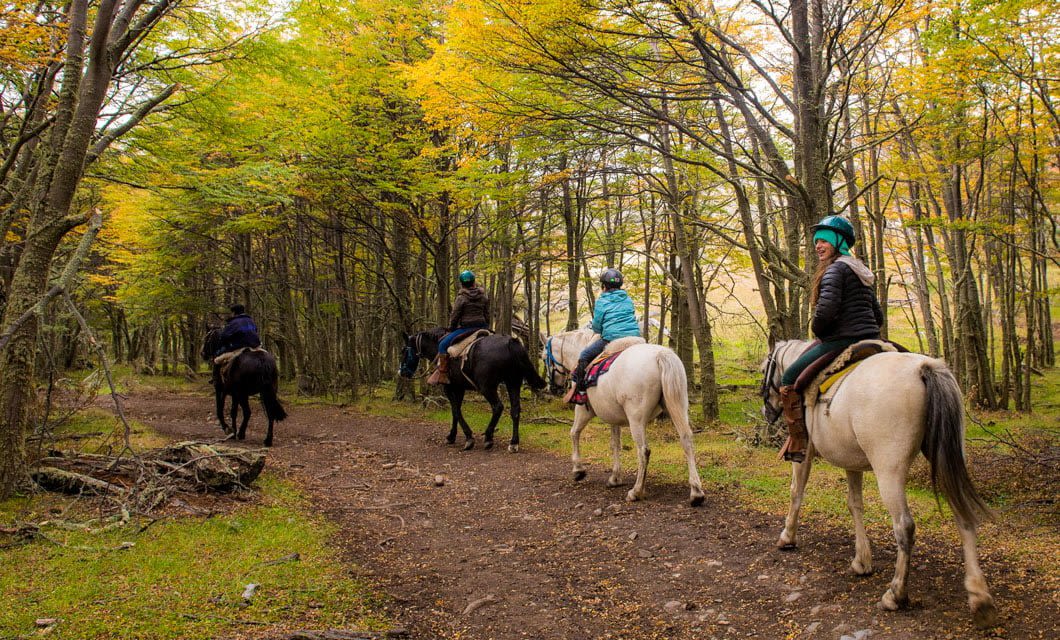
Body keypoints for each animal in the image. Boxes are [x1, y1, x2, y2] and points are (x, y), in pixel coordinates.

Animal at [399, 327, 547, 452]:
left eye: (403, 351)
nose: (401, 372)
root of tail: (510, 342)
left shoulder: (449, 388)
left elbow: (456, 411)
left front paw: (467, 438)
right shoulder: (460, 388)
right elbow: (456, 411)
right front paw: (452, 436)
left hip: (487, 387)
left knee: (498, 407)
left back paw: (488, 437)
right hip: (513, 383)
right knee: (515, 410)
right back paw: (513, 443)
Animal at [544, 328, 705, 506]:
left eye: (544, 357)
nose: (553, 388)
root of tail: (660, 355)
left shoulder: (583, 410)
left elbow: (574, 433)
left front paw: (578, 470)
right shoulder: (613, 417)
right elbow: (615, 444)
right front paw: (615, 477)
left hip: (636, 419)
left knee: (643, 451)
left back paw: (636, 491)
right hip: (677, 406)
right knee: (686, 440)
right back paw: (696, 493)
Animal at [760, 339, 997, 627]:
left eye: (764, 369)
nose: (766, 411)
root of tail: (923, 368)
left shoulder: (804, 452)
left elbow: (797, 491)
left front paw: (787, 537)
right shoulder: (850, 461)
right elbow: (855, 505)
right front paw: (862, 561)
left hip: (889, 471)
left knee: (904, 527)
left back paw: (896, 594)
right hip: (946, 460)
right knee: (963, 515)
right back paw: (979, 597)